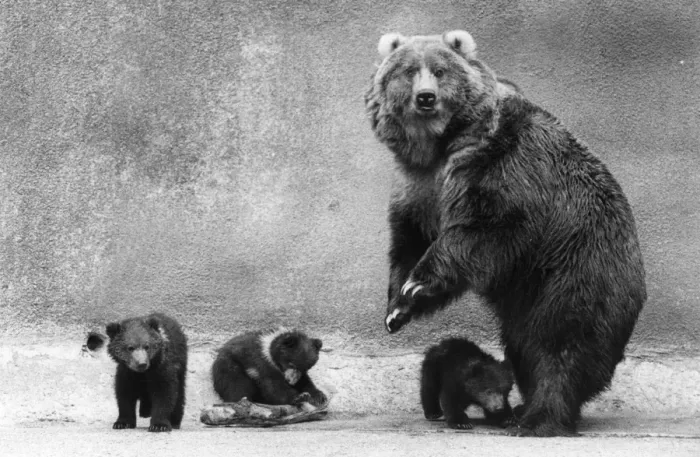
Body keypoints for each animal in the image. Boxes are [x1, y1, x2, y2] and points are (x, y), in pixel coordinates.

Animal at [365, 30, 646, 437]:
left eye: (440, 69)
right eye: (407, 70)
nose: (425, 97)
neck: (439, 146)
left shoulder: (503, 169)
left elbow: (487, 228)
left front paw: (417, 284)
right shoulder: (418, 187)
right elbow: (408, 240)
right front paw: (397, 307)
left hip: (576, 271)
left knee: (560, 341)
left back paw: (540, 416)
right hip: (526, 296)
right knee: (522, 345)